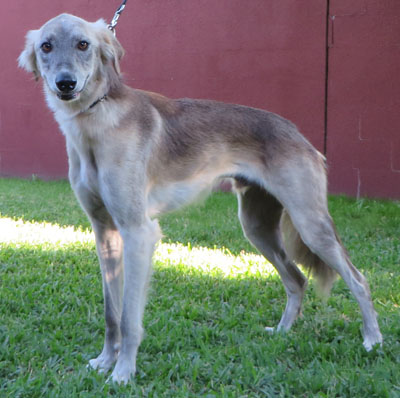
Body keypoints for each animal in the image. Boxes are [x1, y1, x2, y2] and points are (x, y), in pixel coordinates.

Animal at [18, 14, 382, 384]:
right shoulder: (104, 231)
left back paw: (372, 339)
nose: (65, 83)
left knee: (358, 279)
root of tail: (297, 133)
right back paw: (282, 332)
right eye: (46, 46)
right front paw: (106, 361)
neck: (95, 124)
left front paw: (123, 373)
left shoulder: (138, 231)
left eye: (83, 44)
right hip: (257, 226)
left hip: (310, 224)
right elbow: (111, 312)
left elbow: (129, 318)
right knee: (297, 278)